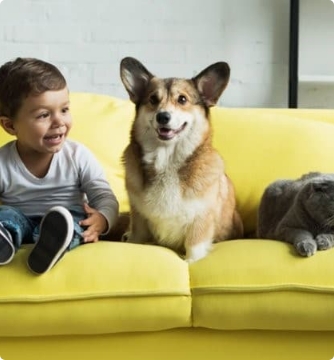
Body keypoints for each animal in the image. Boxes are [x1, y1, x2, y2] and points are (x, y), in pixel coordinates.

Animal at [120, 57, 243, 262]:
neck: (167, 160)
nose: (163, 116)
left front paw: (191, 262)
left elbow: (193, 250)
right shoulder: (138, 220)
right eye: (153, 99)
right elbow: (135, 240)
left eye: (182, 99)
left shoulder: (200, 221)